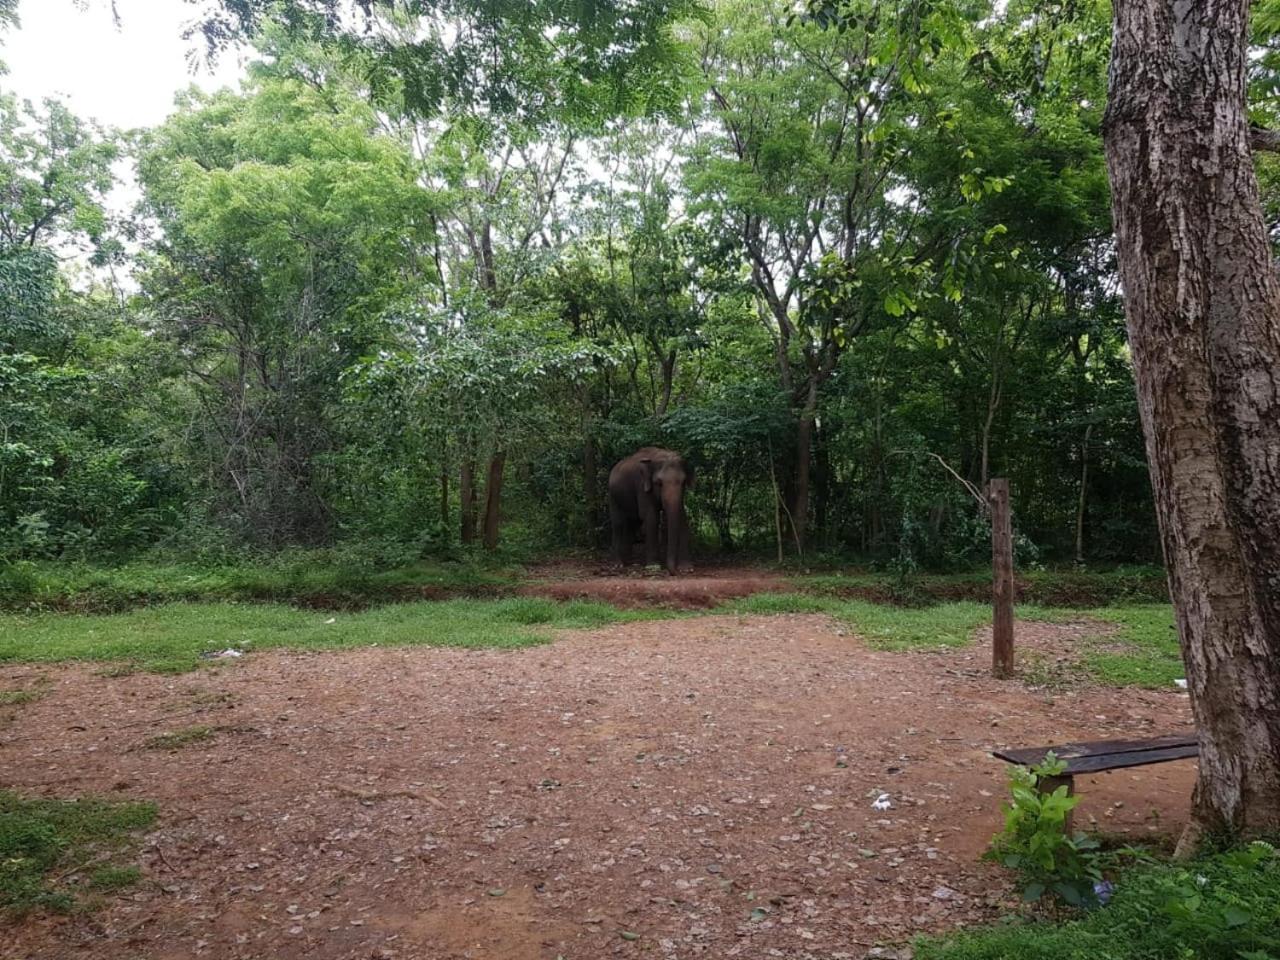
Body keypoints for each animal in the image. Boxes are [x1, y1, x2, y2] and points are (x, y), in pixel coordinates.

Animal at [606, 448, 696, 576]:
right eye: (659, 483)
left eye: (683, 482)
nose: (673, 572)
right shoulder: (642, 487)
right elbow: (651, 517)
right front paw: (653, 566)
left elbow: (683, 518)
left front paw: (687, 569)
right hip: (613, 496)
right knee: (618, 524)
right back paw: (617, 565)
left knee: (632, 523)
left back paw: (629, 562)